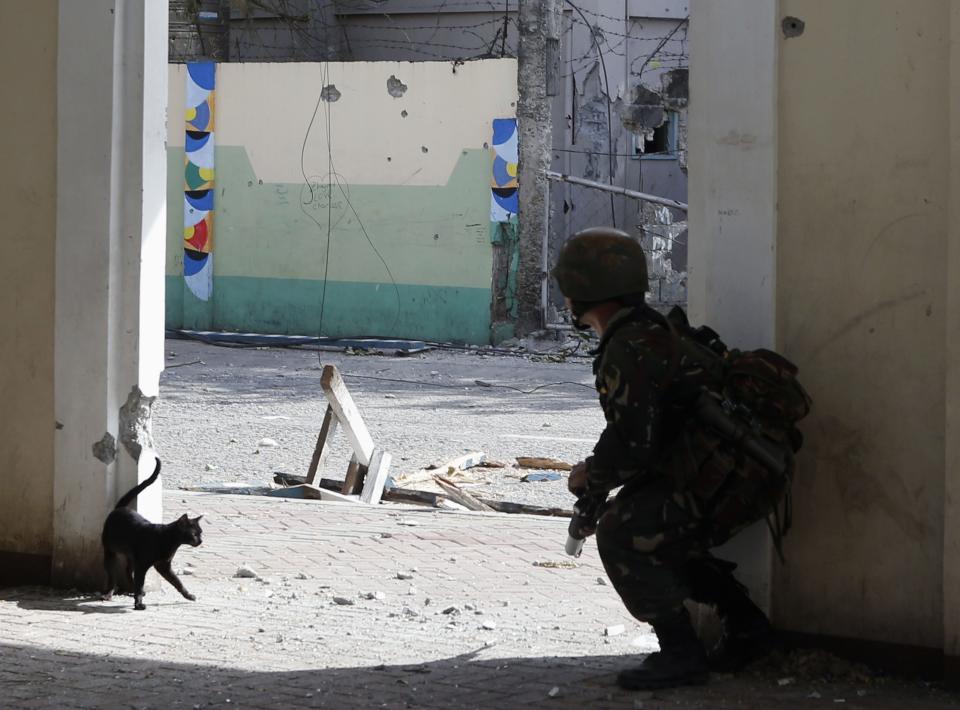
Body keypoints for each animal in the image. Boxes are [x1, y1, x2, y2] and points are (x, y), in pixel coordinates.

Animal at [100, 462, 203, 612]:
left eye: (201, 532)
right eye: (194, 534)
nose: (201, 541)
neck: (169, 540)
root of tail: (119, 509)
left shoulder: (163, 566)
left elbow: (178, 582)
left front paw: (188, 596)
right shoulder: (143, 565)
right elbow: (140, 583)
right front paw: (138, 604)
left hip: (132, 556)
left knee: (127, 571)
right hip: (110, 552)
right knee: (113, 575)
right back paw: (109, 593)